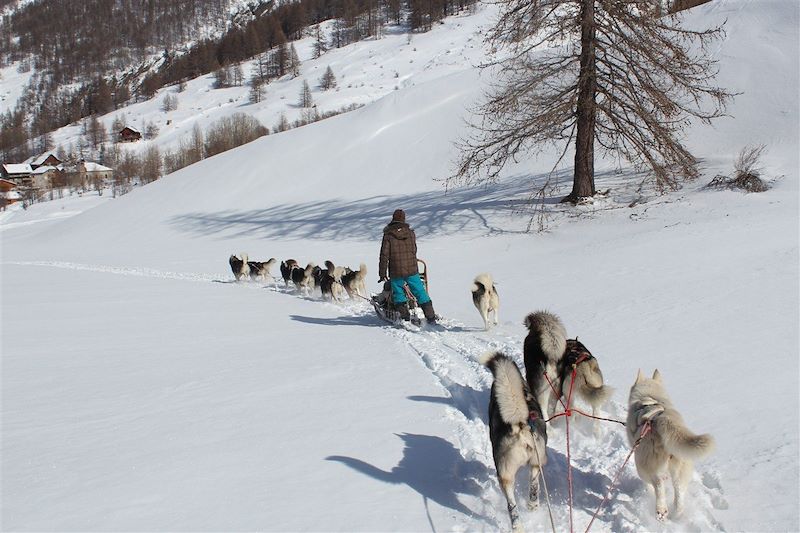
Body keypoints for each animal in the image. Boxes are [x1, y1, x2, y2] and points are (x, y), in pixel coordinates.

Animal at [482, 350, 544, 532]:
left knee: (510, 502)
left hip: (504, 473)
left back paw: (516, 523)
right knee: (534, 485)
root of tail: (520, 424)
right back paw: (530, 508)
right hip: (536, 461)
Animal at [628, 368, 716, 520]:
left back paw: (661, 509)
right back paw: (677, 513)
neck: (649, 397)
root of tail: (661, 418)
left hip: (644, 464)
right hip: (680, 465)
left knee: (658, 484)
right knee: (679, 491)